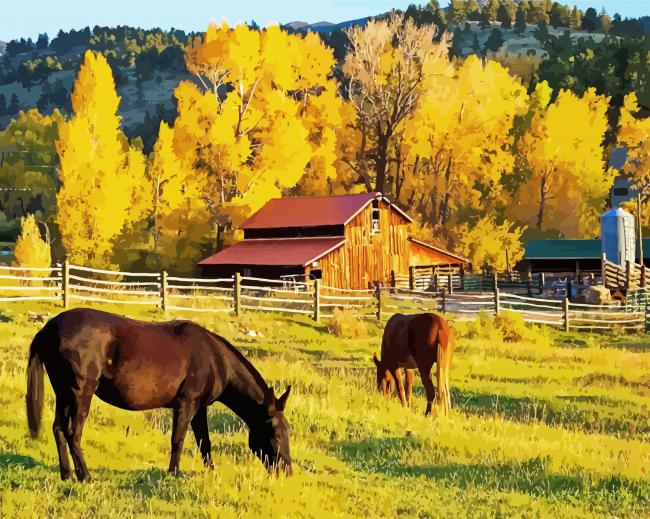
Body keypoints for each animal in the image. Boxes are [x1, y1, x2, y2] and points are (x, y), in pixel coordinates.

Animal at [26, 308, 292, 484]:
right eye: (276, 433)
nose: (287, 470)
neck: (215, 358)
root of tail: (49, 328)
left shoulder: (200, 408)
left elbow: (204, 441)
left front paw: (211, 471)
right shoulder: (186, 403)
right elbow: (178, 439)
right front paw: (173, 473)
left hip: (64, 393)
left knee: (59, 429)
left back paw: (66, 475)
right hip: (80, 393)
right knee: (73, 432)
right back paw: (86, 477)